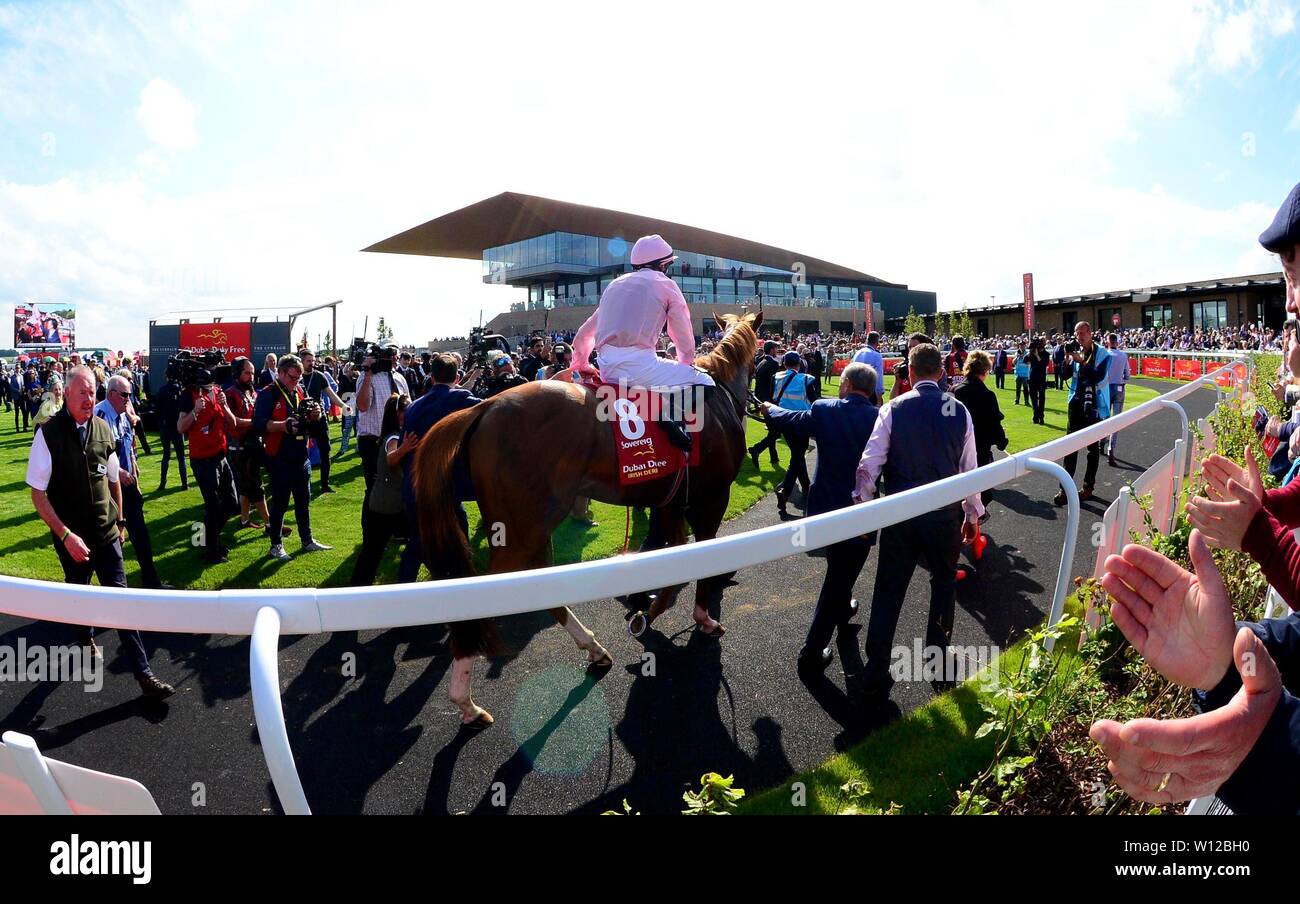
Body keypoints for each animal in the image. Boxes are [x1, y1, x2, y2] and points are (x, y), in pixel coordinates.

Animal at [416, 314, 759, 723]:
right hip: (524, 525)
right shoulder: (712, 496)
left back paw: (594, 648)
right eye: (760, 356)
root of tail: (484, 407)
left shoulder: (671, 501)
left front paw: (648, 611)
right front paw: (702, 618)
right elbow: (703, 556)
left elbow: (674, 555)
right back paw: (465, 701)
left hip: (530, 523)